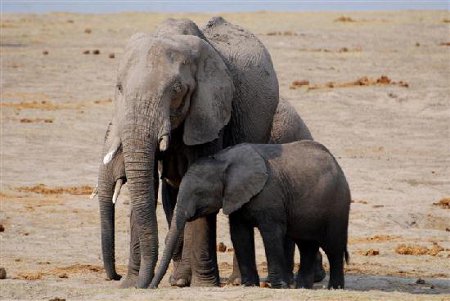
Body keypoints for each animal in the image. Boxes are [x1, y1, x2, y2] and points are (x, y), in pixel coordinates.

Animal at [98, 17, 282, 288]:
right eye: (119, 87)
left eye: (176, 90)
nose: (118, 277)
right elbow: (151, 185)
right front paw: (131, 285)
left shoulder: (210, 111)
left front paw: (204, 285)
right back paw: (180, 280)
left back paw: (236, 281)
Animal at [151, 141, 352, 288]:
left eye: (199, 193)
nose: (150, 287)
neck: (223, 162)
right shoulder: (236, 198)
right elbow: (239, 234)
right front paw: (249, 284)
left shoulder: (270, 195)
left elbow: (271, 233)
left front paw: (278, 286)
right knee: (306, 245)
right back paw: (302, 287)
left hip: (338, 205)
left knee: (333, 247)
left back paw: (334, 288)